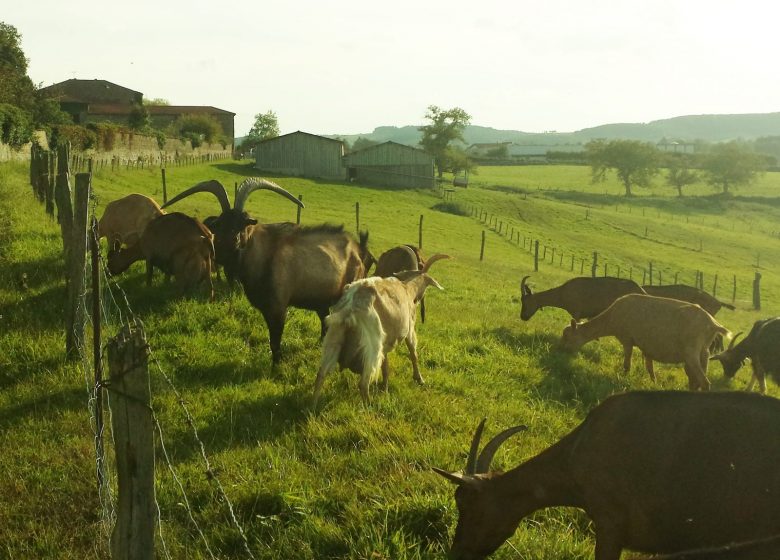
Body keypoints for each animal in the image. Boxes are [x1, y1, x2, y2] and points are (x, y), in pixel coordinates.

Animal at [310, 256, 444, 404]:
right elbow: (413, 353)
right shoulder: (409, 330)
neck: (407, 288)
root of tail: (350, 308)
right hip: (371, 346)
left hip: (334, 337)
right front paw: (419, 379)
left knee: (321, 374)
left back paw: (313, 406)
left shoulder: (385, 345)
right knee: (363, 384)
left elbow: (386, 367)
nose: (419, 300)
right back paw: (369, 405)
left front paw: (385, 389)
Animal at [556, 294, 728, 390]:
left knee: (704, 383)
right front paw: (654, 383)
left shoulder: (627, 338)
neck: (611, 320)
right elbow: (650, 368)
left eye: (566, 336)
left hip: (691, 351)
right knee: (696, 381)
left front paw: (623, 378)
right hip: (703, 352)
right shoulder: (647, 347)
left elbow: (627, 364)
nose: (559, 351)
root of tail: (713, 324)